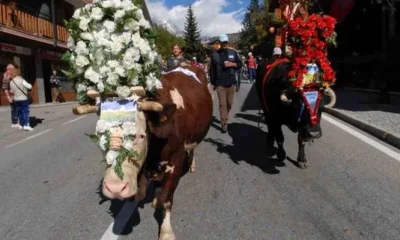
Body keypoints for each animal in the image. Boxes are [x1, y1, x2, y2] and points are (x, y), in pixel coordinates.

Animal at [73, 66, 214, 240]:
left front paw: (166, 232)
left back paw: (192, 166)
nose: (115, 188)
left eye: (140, 136)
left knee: (193, 149)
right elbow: (150, 194)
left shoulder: (176, 159)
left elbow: (166, 200)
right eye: (100, 136)